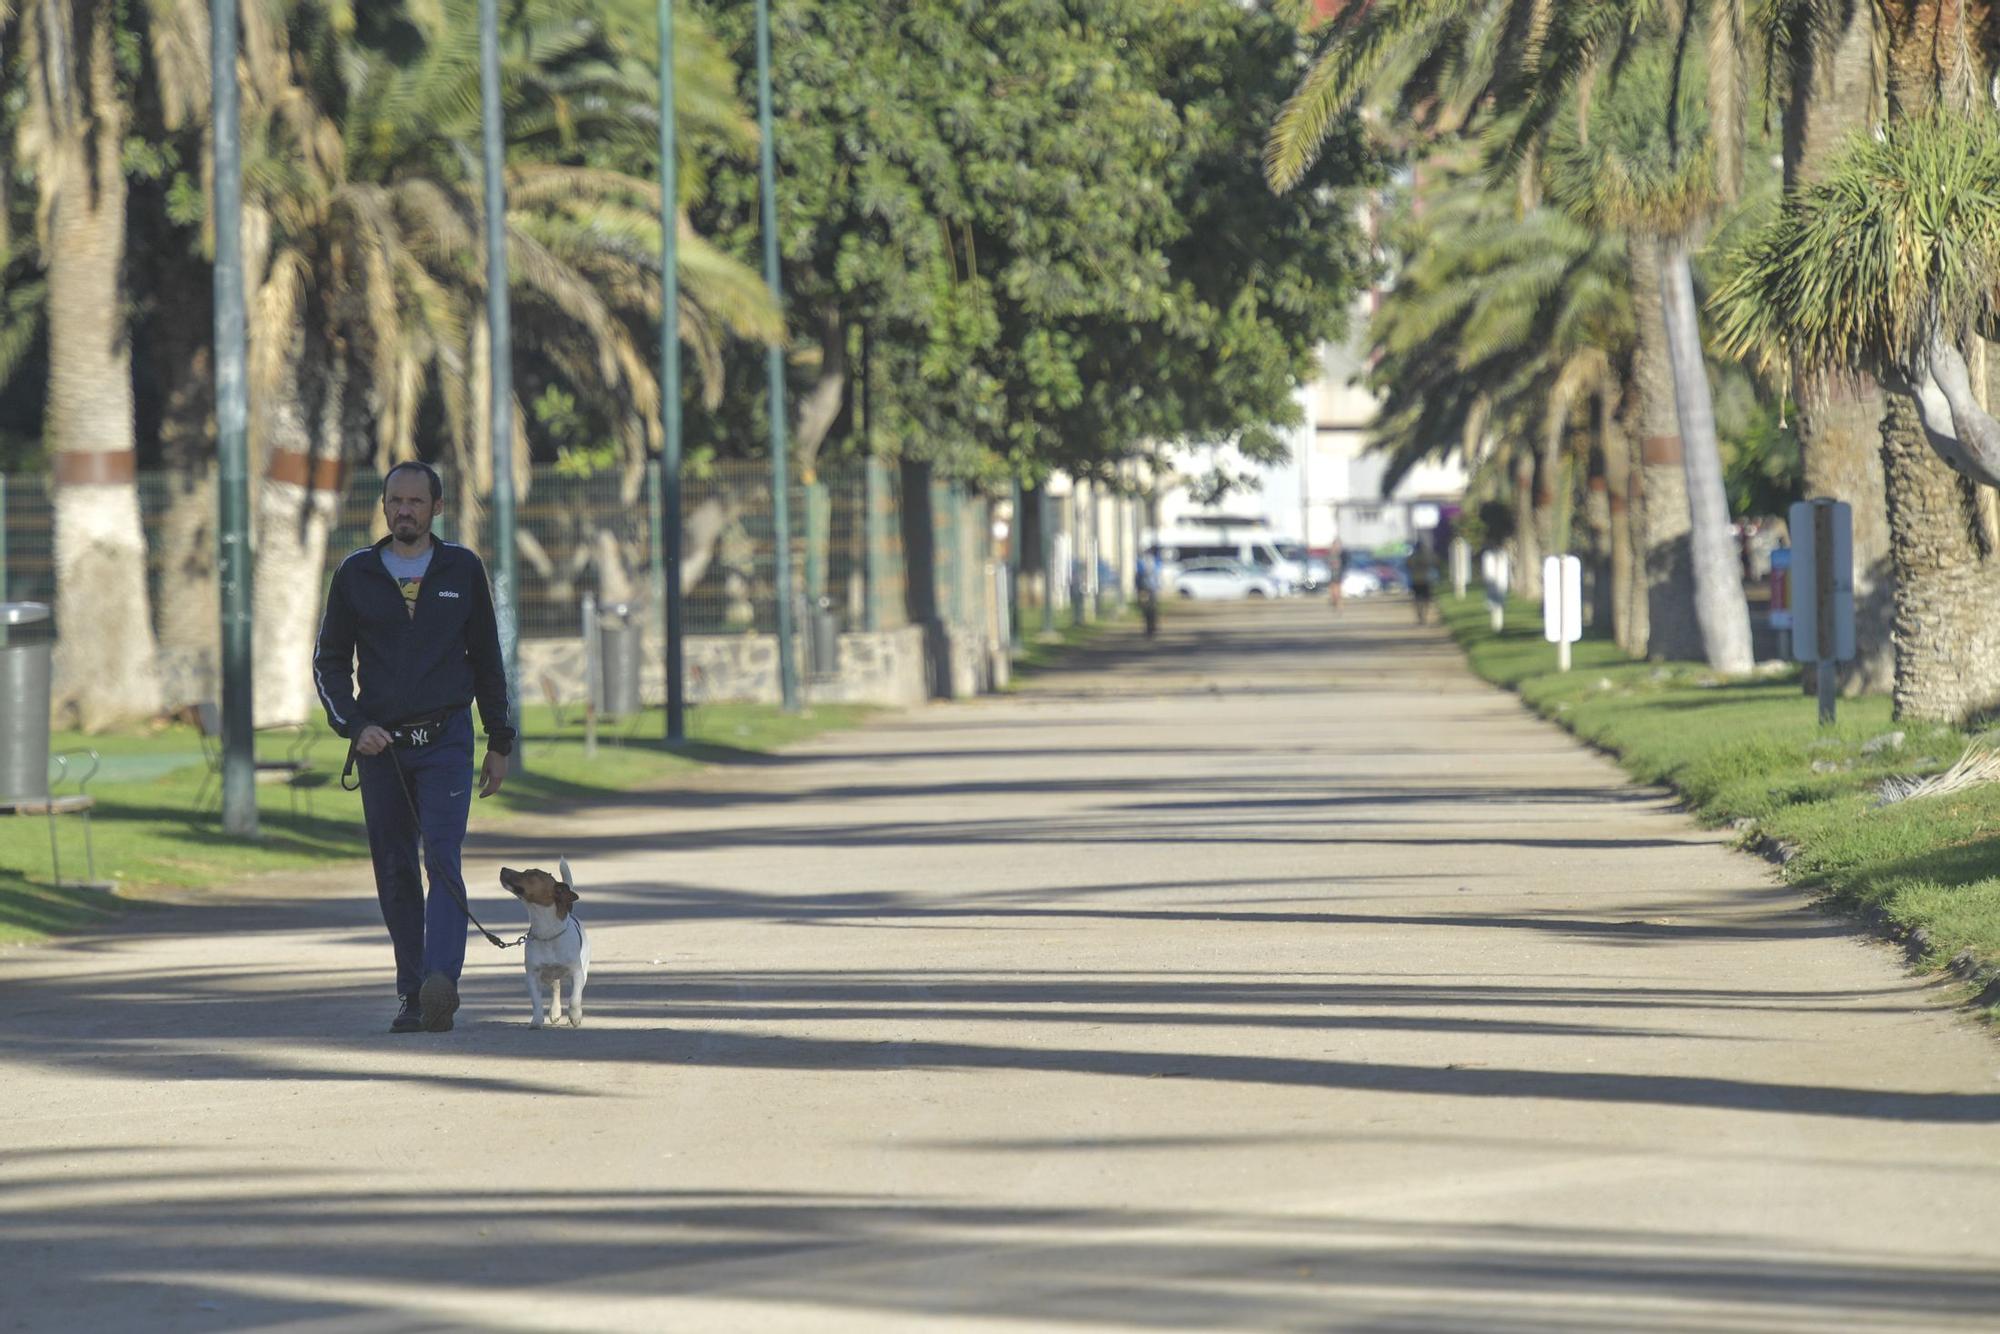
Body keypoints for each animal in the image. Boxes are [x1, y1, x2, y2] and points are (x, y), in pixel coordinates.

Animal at [504, 856, 588, 1032]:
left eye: (532, 873)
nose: (502, 869)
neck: (547, 932)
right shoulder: (532, 976)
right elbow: (536, 1002)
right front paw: (536, 1021)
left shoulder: (577, 972)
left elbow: (574, 998)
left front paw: (575, 1017)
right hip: (549, 976)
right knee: (556, 988)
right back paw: (555, 1011)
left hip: (583, 970)